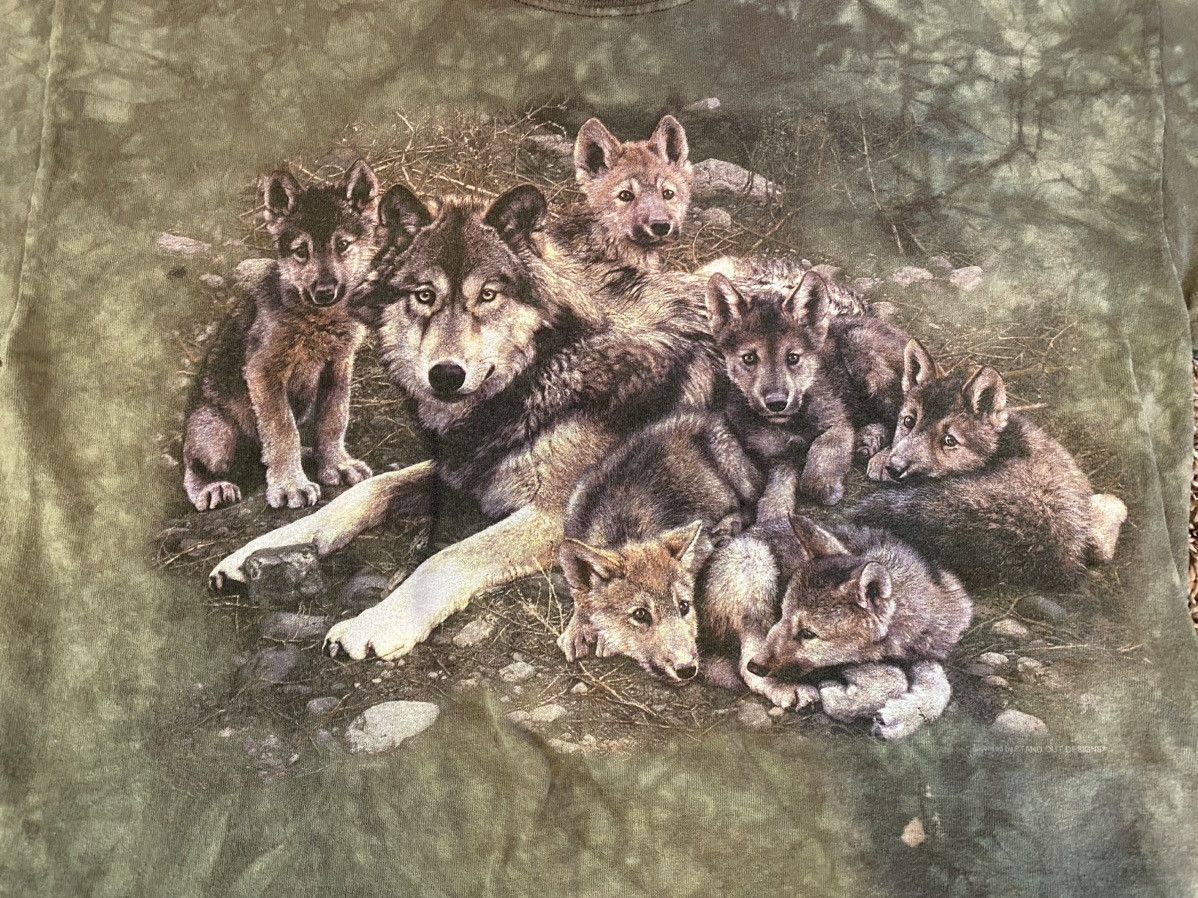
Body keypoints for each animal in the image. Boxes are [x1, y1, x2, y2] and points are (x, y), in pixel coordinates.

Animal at [182, 161, 379, 511]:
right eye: (301, 251)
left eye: (342, 245)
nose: (325, 291)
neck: (317, 319)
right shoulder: (264, 372)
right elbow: (282, 430)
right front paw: (290, 486)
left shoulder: (339, 365)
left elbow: (333, 420)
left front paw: (337, 464)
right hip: (216, 434)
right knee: (194, 468)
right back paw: (213, 487)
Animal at [208, 182, 717, 661]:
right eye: (424, 296)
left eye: (487, 295)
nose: (446, 375)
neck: (543, 371)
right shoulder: (461, 466)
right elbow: (363, 492)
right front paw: (261, 549)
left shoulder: (558, 516)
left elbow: (448, 557)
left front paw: (375, 623)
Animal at [556, 410, 762, 684]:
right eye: (641, 614)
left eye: (684, 606)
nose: (687, 669)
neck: (623, 527)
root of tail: (709, 415)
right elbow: (580, 596)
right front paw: (576, 628)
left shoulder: (701, 546)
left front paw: (604, 639)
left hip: (733, 469)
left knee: (753, 503)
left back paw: (729, 525)